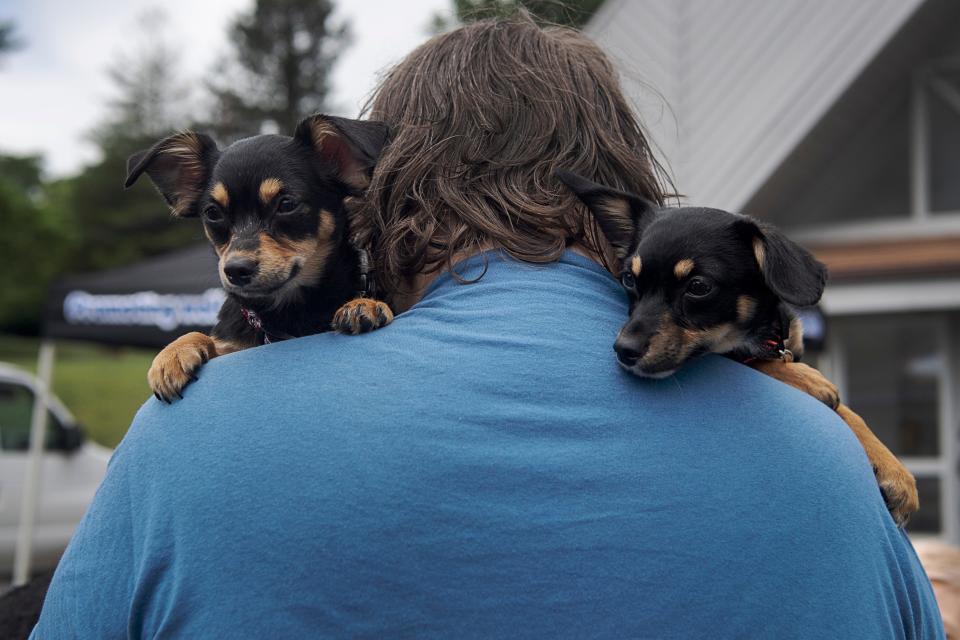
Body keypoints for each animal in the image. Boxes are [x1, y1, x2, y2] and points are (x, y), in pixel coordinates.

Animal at [127, 114, 394, 400]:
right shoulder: (235, 344)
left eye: (286, 204)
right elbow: (209, 339)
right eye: (212, 213)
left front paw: (364, 305)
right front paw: (172, 354)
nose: (235, 270)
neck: (286, 312)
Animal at [560, 170, 920, 524]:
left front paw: (893, 469)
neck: (761, 336)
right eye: (629, 280)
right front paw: (805, 378)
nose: (624, 349)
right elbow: (761, 363)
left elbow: (847, 410)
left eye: (698, 286)